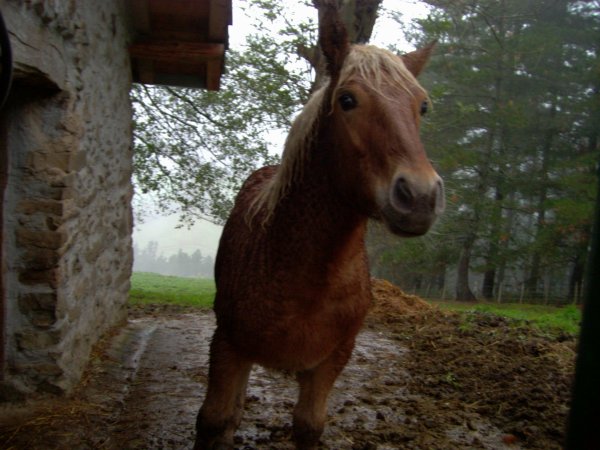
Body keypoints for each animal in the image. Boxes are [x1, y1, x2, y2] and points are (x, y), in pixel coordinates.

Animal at [195, 1, 442, 448]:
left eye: (423, 106)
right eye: (347, 99)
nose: (420, 197)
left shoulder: (331, 361)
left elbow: (308, 424)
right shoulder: (227, 347)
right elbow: (214, 419)